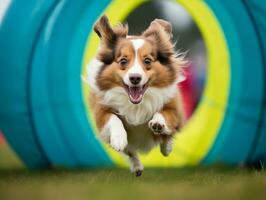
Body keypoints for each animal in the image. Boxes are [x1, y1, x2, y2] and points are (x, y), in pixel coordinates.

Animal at [84, 14, 185, 176]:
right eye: (123, 61)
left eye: (147, 60)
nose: (135, 78)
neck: (136, 104)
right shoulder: (101, 111)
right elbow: (113, 119)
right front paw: (119, 139)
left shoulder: (174, 107)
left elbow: (165, 115)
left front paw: (158, 124)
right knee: (130, 151)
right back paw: (136, 166)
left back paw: (166, 146)